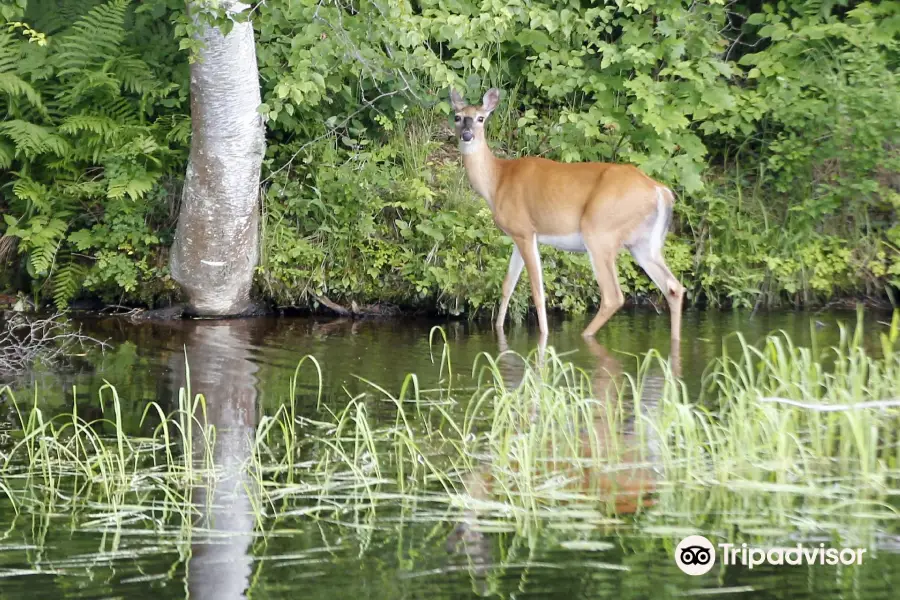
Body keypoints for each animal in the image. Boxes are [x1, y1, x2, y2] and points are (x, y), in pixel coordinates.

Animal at [450, 86, 688, 344]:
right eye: (457, 117)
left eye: (481, 118)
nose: (466, 135)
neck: (497, 181)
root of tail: (660, 191)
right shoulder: (519, 235)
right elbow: (507, 285)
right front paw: (499, 330)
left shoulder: (524, 230)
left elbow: (537, 291)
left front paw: (543, 336)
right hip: (644, 243)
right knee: (673, 287)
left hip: (600, 232)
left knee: (613, 296)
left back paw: (586, 336)